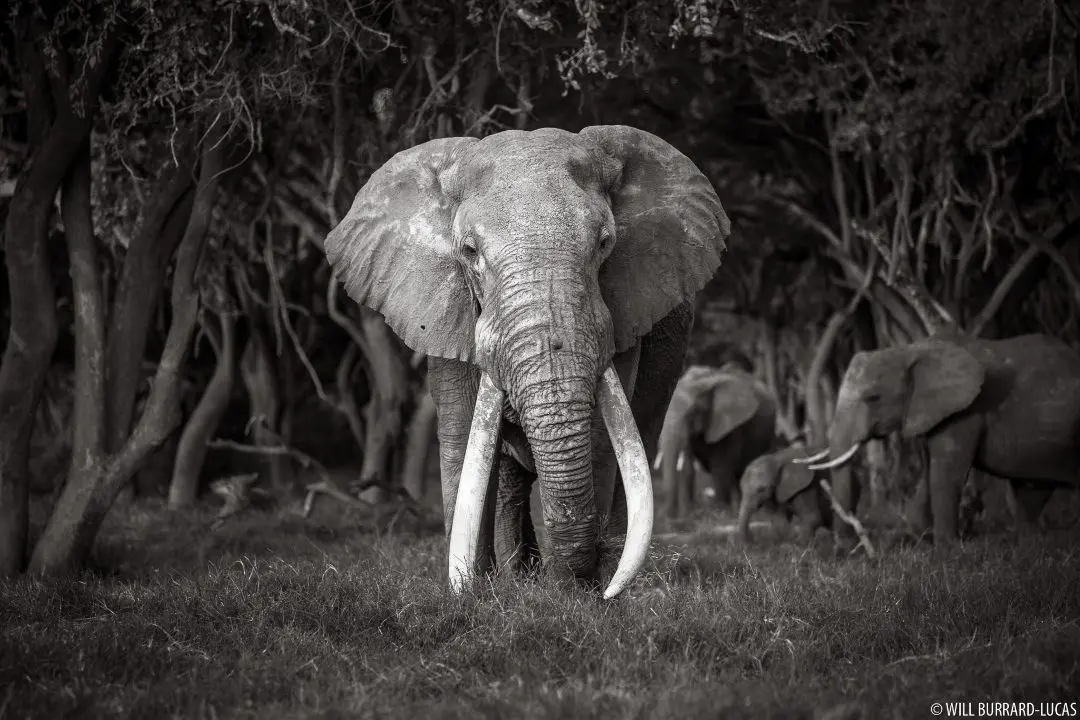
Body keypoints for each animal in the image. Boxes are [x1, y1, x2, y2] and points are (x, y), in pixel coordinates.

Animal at [324, 126, 730, 598]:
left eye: (605, 244)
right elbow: (463, 437)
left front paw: (577, 596)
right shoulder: (447, 312)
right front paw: (471, 595)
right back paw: (518, 578)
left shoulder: (626, 311)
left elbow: (601, 436)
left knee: (637, 444)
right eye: (469, 251)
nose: (576, 582)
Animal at [655, 364, 778, 520]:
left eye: (693, 412)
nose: (666, 516)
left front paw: (717, 513)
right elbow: (687, 466)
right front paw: (689, 515)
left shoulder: (732, 426)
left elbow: (720, 466)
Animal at [805, 332, 1080, 546]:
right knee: (1032, 492)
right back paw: (1028, 543)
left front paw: (946, 549)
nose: (848, 543)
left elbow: (945, 476)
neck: (910, 349)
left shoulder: (966, 411)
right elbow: (929, 472)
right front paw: (924, 535)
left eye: (873, 397)